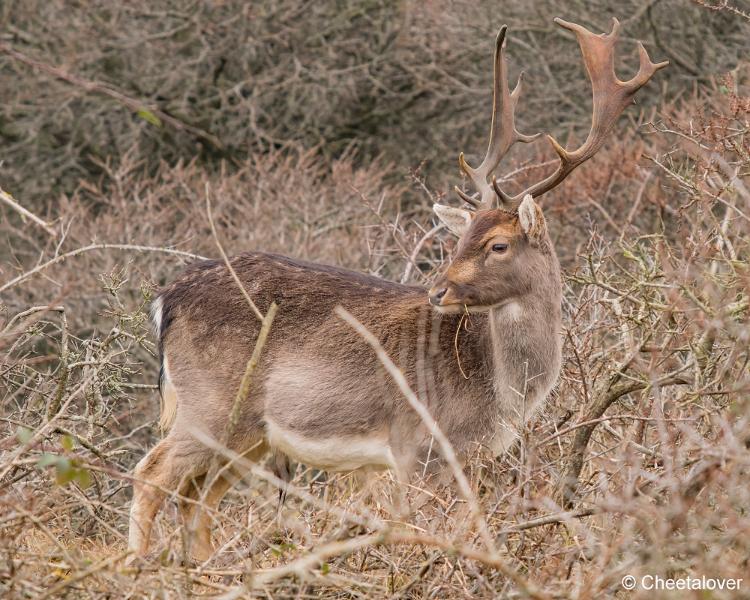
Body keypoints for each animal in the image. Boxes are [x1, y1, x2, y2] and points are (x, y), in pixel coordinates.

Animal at [129, 18, 668, 564]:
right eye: (460, 240)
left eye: (496, 244)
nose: (437, 291)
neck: (498, 392)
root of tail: (165, 300)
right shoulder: (417, 444)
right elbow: (425, 529)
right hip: (211, 403)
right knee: (151, 474)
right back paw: (135, 565)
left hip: (249, 433)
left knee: (196, 496)